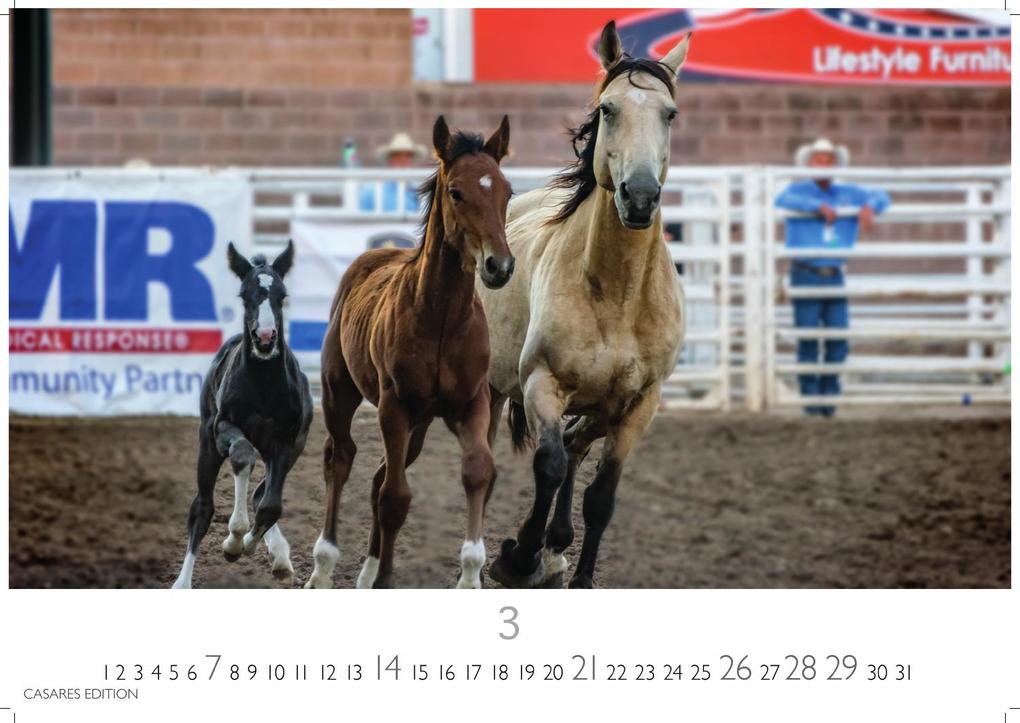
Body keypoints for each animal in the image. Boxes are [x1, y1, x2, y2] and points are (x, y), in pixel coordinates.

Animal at [172, 241, 313, 588]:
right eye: (244, 295)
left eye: (282, 295)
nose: (264, 337)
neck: (263, 385)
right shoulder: (223, 427)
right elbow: (242, 456)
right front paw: (233, 540)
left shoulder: (286, 442)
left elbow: (271, 505)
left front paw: (252, 545)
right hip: (207, 444)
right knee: (202, 507)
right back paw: (182, 582)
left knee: (262, 494)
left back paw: (280, 557)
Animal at [304, 115, 514, 589]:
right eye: (456, 191)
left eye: (507, 191)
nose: (500, 265)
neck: (441, 320)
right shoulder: (394, 406)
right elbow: (395, 497)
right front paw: (382, 580)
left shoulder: (471, 403)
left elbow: (478, 470)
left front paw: (470, 574)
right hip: (340, 392)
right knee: (340, 458)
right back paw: (323, 566)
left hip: (418, 425)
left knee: (379, 473)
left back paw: (365, 571)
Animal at [477, 21, 690, 588]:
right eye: (608, 110)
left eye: (670, 113)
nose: (640, 196)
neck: (617, 293)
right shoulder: (541, 383)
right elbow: (547, 466)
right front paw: (517, 557)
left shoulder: (640, 406)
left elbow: (601, 498)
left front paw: (576, 572)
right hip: (491, 388)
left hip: (600, 406)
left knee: (577, 445)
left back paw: (556, 547)